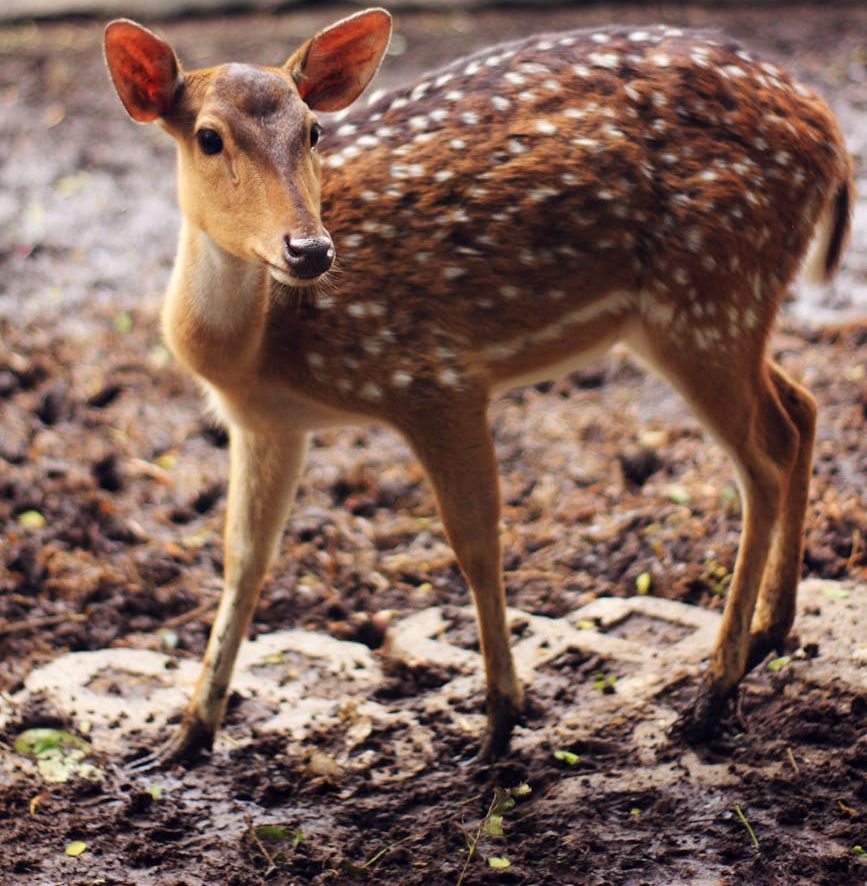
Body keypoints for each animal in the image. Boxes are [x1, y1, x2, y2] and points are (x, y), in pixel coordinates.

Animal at [103, 8, 852, 768]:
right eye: (208, 137)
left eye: (313, 130)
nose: (310, 250)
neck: (257, 350)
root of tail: (828, 131)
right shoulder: (267, 424)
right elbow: (244, 561)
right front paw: (183, 737)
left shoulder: (434, 377)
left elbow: (474, 540)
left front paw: (498, 723)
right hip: (705, 312)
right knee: (801, 409)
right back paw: (769, 631)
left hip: (709, 292)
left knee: (764, 458)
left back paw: (710, 693)